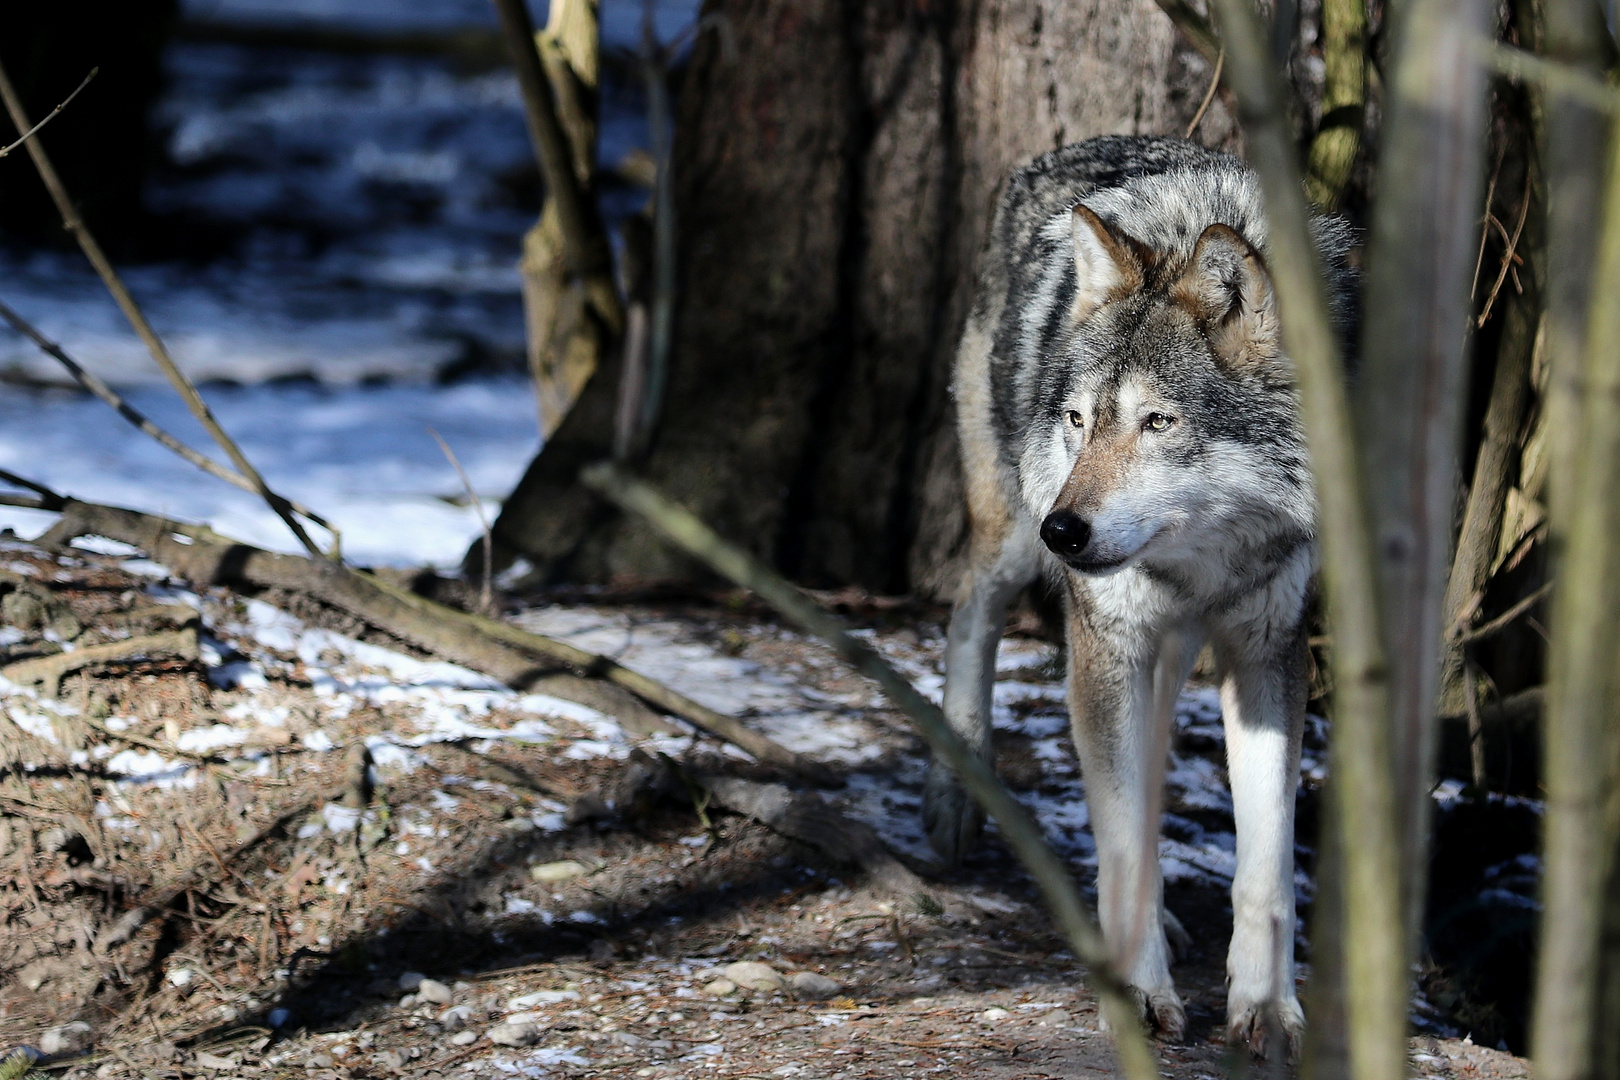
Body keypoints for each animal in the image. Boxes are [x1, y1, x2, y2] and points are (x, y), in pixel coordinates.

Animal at [926, 135, 1354, 1055]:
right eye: (1079, 420)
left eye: (1158, 422)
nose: (1064, 531)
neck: (1204, 555)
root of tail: (1053, 158)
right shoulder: (1106, 643)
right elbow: (1124, 844)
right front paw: (1137, 991)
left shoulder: (1269, 652)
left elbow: (1265, 860)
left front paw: (1266, 1007)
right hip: (1008, 539)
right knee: (967, 618)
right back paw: (956, 796)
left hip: (1164, 644)